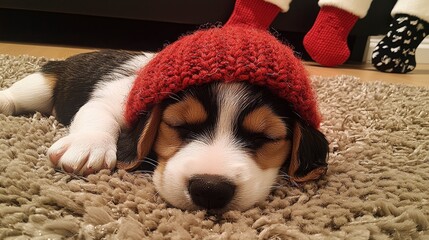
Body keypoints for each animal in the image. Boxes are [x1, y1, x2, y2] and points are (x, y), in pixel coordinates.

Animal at [0, 50, 328, 210]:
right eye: (179, 125)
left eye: (265, 138)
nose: (210, 189)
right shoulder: (114, 97)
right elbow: (98, 116)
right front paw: (88, 145)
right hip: (42, 84)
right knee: (20, 93)